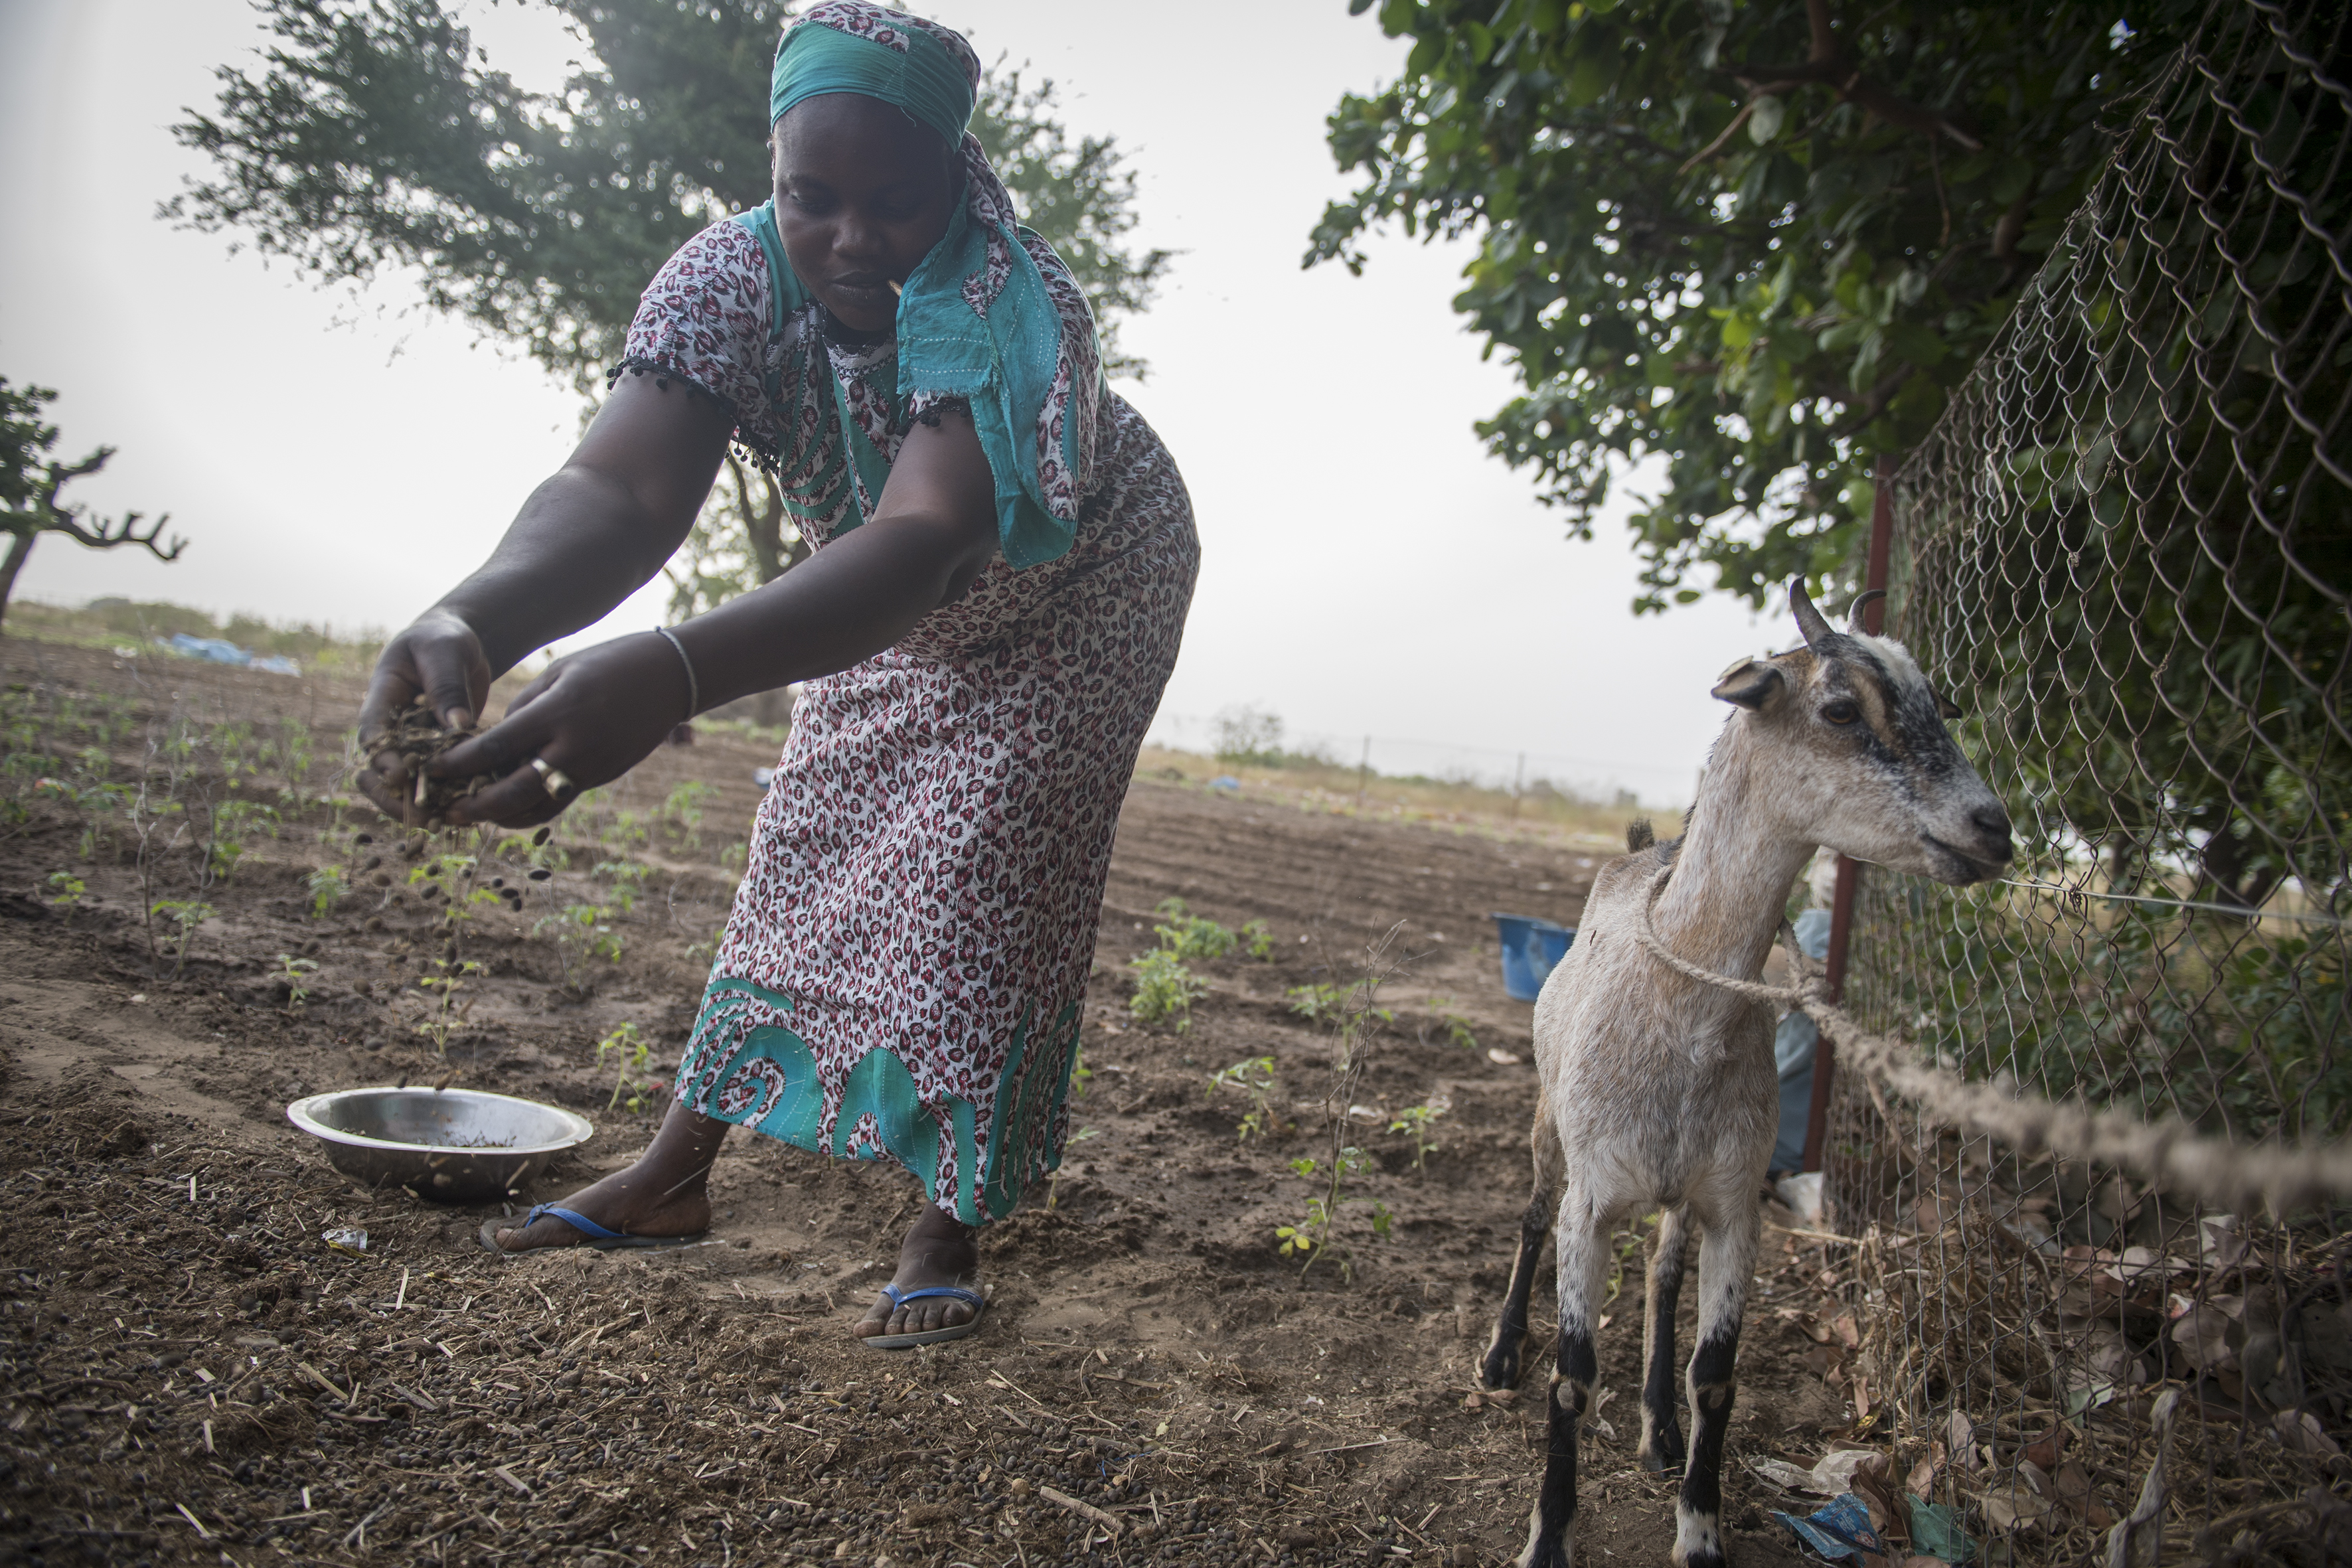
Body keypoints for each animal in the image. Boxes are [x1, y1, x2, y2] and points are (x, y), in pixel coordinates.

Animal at [1477, 580, 2013, 1568]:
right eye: (1841, 707)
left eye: (1940, 704)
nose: (1993, 830)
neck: (1681, 1004)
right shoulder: (1591, 1199)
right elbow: (1572, 1376)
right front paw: (1546, 1538)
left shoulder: (1735, 1202)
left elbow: (1716, 1375)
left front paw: (1697, 1531)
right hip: (1547, 1118)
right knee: (1530, 1213)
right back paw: (1499, 1358)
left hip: (1684, 1188)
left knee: (1662, 1272)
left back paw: (1657, 1429)